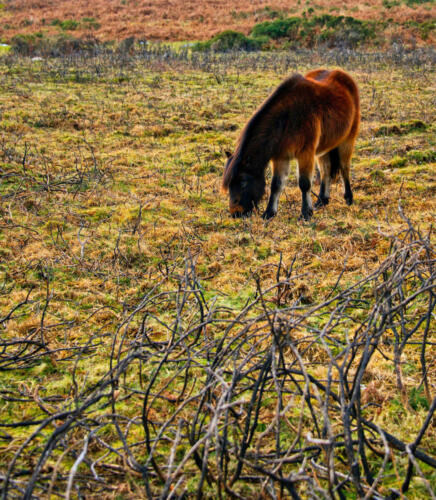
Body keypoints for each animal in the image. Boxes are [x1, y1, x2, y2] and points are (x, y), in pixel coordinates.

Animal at [223, 68, 360, 219]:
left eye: (243, 182)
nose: (235, 213)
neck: (287, 118)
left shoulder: (305, 153)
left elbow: (304, 183)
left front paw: (306, 213)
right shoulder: (281, 157)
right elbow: (276, 185)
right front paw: (269, 212)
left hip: (347, 141)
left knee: (344, 168)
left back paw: (348, 198)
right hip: (323, 147)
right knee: (326, 170)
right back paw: (322, 200)